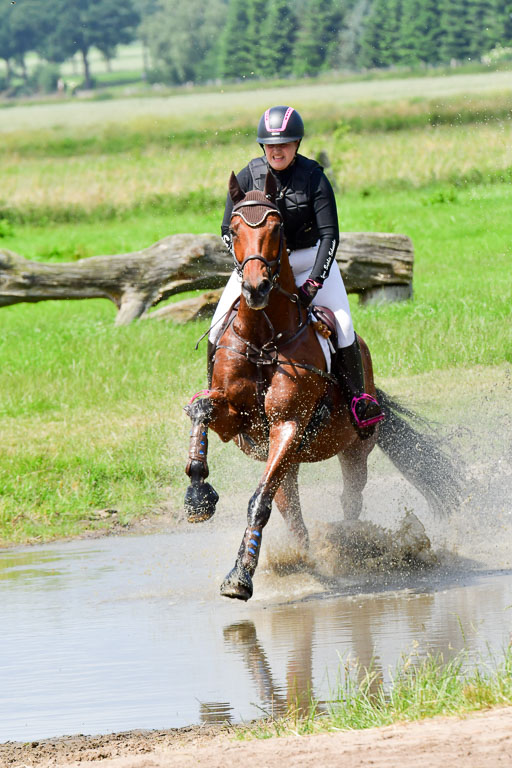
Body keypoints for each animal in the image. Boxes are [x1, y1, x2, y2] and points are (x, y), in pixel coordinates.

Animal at [183, 170, 461, 601]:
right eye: (234, 229)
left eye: (276, 227)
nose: (255, 289)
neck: (265, 336)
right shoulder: (237, 420)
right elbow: (201, 408)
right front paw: (197, 498)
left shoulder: (288, 424)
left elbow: (258, 501)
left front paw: (240, 577)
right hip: (289, 462)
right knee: (290, 507)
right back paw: (305, 556)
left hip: (355, 448)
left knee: (349, 498)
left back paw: (350, 545)